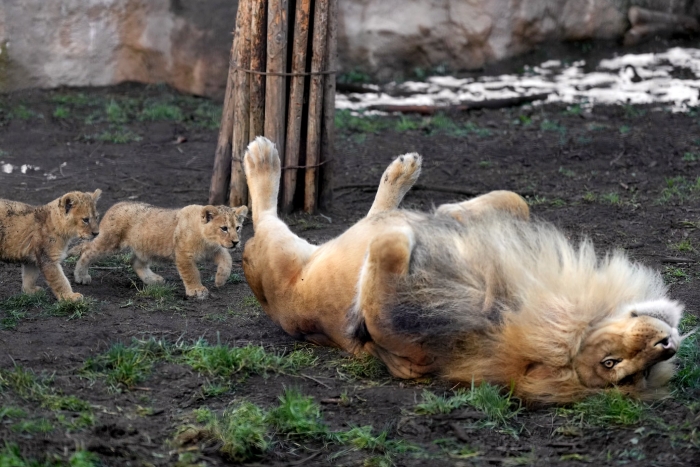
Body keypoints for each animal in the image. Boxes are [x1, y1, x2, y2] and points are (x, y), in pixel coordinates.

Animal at [73, 202, 248, 299]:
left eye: (238, 228)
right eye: (224, 228)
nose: (236, 242)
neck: (208, 241)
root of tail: (115, 206)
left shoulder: (215, 250)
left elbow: (227, 260)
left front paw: (220, 280)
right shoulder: (183, 255)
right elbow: (191, 273)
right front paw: (197, 290)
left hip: (144, 247)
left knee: (135, 262)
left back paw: (153, 280)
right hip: (110, 242)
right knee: (87, 250)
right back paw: (81, 276)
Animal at [241, 136, 687, 405]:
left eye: (625, 372)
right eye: (611, 363)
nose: (667, 345)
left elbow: (386, 252)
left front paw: (421, 227)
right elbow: (514, 199)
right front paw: (450, 216)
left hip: (275, 253)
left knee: (265, 220)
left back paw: (263, 158)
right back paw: (404, 174)